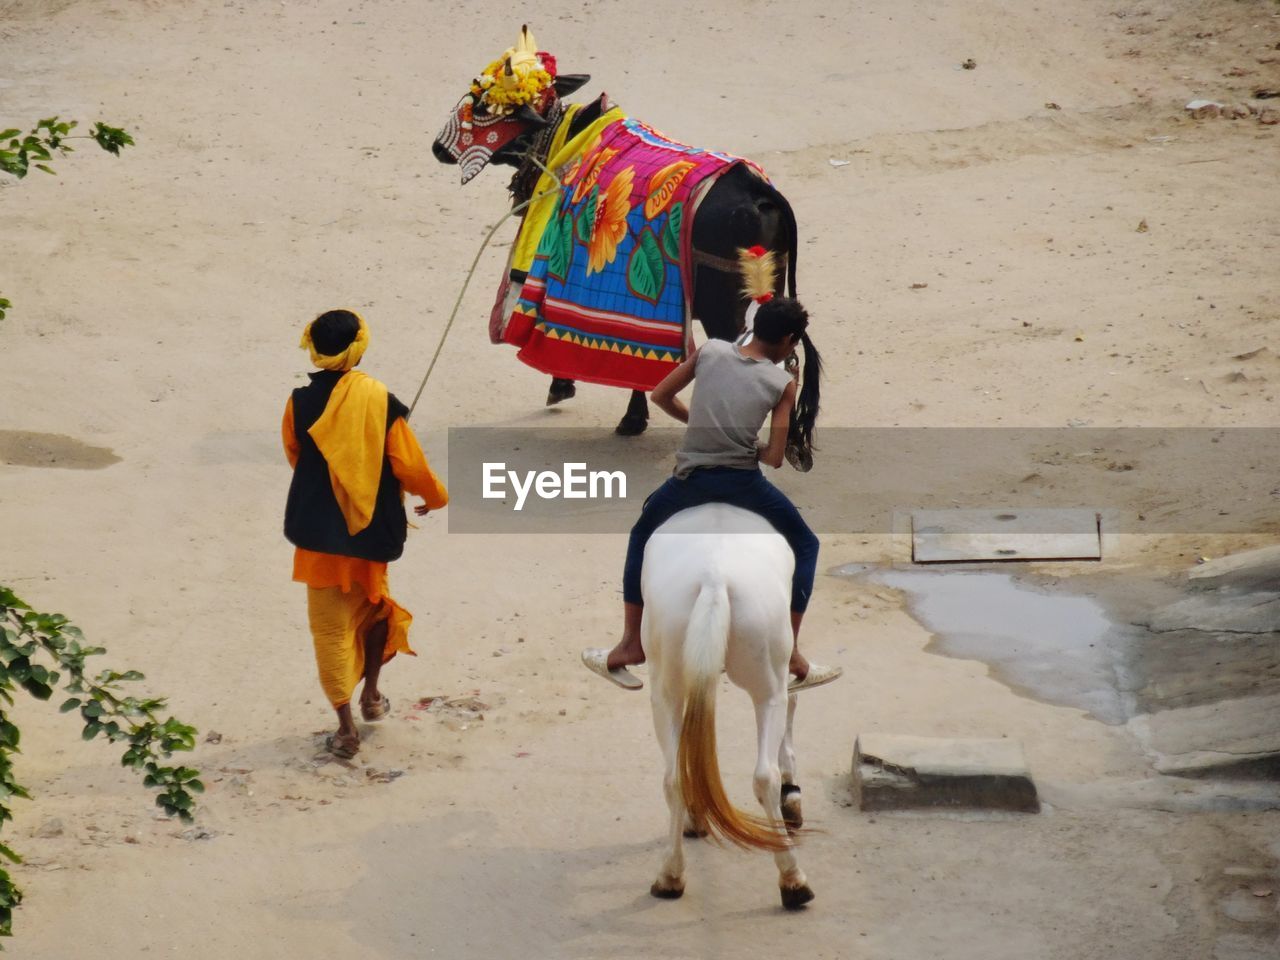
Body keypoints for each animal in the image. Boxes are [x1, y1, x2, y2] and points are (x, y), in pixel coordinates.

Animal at [637, 504, 808, 911]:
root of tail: (714, 579)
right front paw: (792, 796)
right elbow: (795, 698)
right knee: (765, 774)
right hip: (767, 684)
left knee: (673, 778)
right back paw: (793, 878)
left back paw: (670, 875)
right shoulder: (783, 669)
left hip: (666, 686)